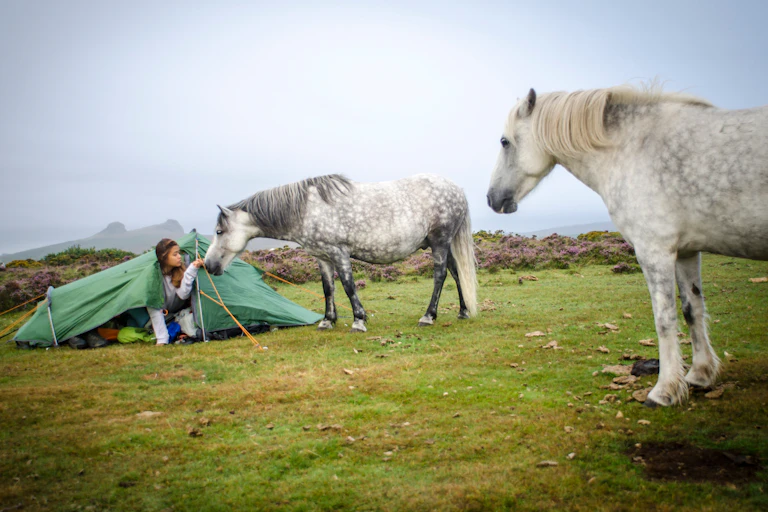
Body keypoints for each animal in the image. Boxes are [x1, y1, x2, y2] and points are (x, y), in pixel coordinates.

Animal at [205, 174, 477, 332]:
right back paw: (463, 311)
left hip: (439, 242)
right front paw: (328, 320)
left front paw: (359, 320)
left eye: (219, 231)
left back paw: (428, 316)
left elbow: (348, 286)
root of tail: (457, 189)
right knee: (456, 274)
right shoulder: (322, 257)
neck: (306, 209)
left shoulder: (338, 253)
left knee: (440, 275)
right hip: (441, 244)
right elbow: (328, 288)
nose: (208, 265)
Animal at [487, 85, 768, 407]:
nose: (491, 198)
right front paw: (700, 374)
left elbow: (664, 319)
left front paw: (664, 391)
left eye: (504, 141)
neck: (630, 148)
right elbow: (692, 309)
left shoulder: (654, 250)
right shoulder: (685, 252)